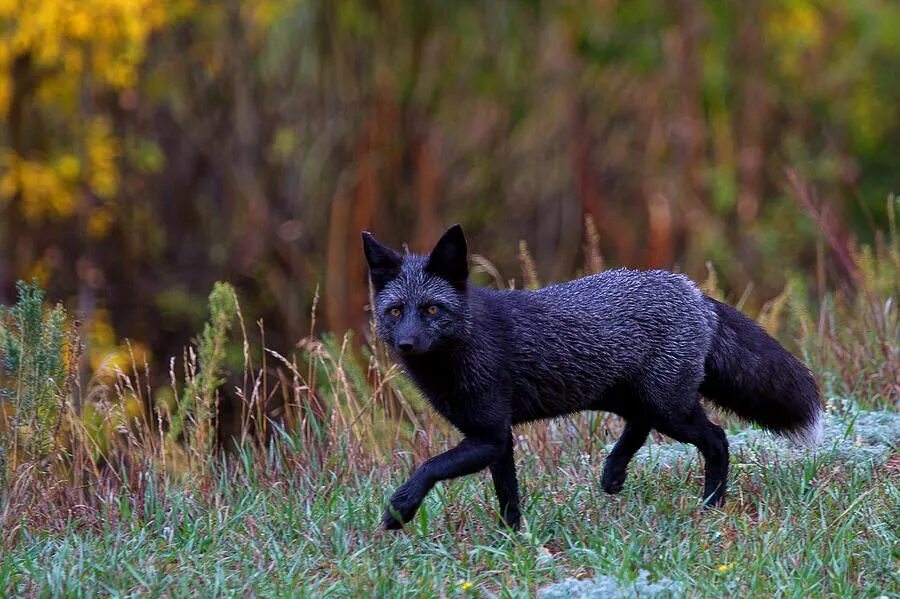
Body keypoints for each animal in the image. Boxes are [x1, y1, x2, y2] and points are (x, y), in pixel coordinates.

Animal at [360, 225, 824, 528]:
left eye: (432, 309)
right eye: (396, 311)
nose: (407, 344)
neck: (468, 343)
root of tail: (692, 290)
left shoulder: (489, 433)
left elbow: (429, 466)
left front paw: (400, 510)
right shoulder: (496, 437)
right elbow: (508, 495)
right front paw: (514, 540)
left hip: (669, 407)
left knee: (717, 438)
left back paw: (710, 506)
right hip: (622, 396)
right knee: (641, 425)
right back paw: (614, 473)